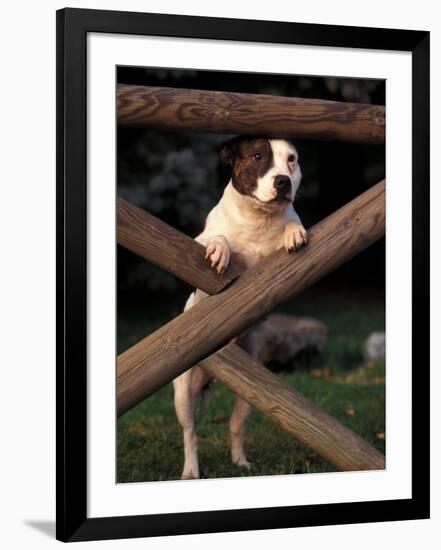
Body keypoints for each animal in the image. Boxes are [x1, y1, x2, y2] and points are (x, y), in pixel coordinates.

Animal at [172, 136, 306, 480]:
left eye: (291, 159)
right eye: (258, 157)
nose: (283, 182)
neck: (258, 219)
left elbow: (292, 222)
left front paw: (294, 230)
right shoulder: (196, 245)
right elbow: (216, 238)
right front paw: (220, 248)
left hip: (252, 393)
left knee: (235, 426)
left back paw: (240, 461)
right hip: (183, 393)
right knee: (190, 432)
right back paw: (190, 469)